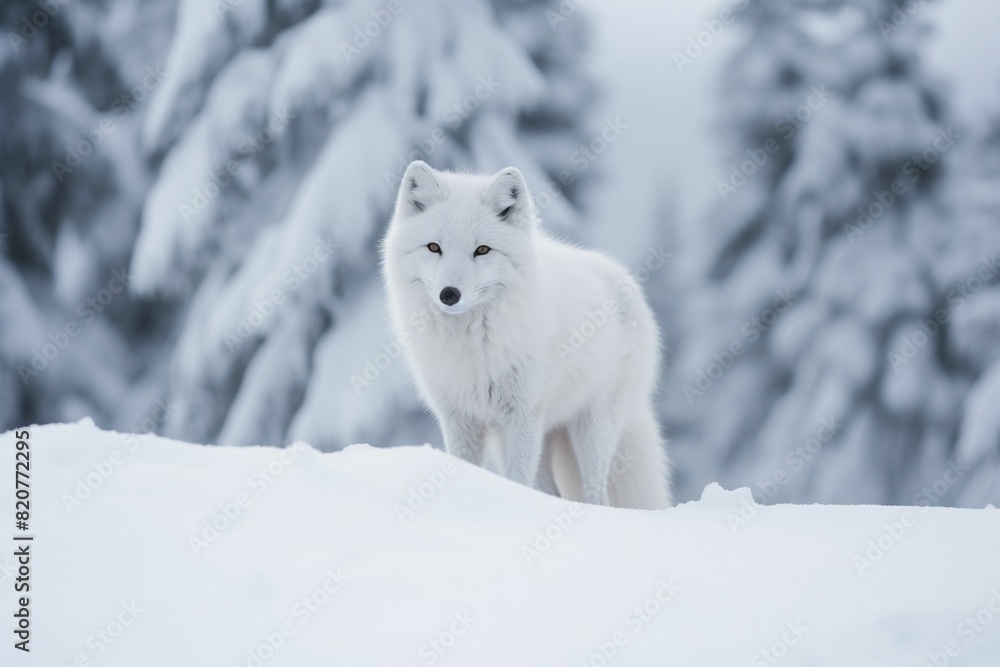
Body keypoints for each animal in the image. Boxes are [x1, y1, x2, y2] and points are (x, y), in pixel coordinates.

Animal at [382, 161, 671, 509]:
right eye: (434, 248)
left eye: (482, 250)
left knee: (596, 495)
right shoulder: (459, 417)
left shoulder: (520, 415)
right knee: (551, 491)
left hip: (591, 429)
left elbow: (517, 480)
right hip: (538, 436)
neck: (471, 342)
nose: (449, 294)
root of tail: (626, 279)